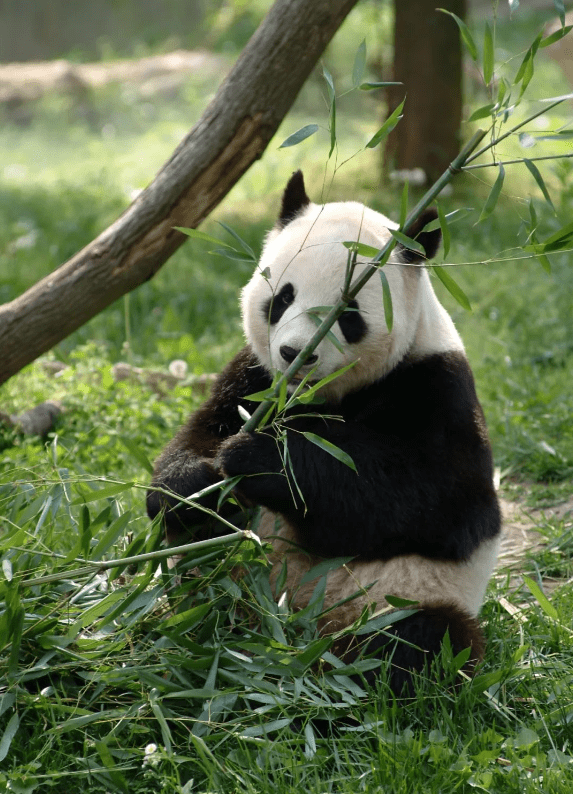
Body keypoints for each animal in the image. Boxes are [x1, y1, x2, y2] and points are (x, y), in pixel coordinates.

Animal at [147, 172, 500, 692]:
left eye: (348, 312)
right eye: (283, 296)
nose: (296, 353)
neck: (315, 398)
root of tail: (294, 629)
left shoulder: (435, 387)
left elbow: (431, 501)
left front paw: (258, 460)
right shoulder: (253, 377)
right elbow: (197, 440)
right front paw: (198, 485)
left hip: (402, 597)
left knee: (422, 641)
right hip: (231, 570)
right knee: (202, 568)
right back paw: (211, 632)